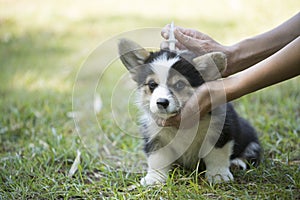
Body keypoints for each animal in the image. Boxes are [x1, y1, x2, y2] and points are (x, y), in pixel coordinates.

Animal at [117, 38, 260, 185]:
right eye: (152, 85)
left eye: (179, 85)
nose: (161, 102)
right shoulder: (156, 136)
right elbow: (157, 159)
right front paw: (155, 178)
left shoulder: (219, 130)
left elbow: (216, 155)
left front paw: (218, 175)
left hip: (250, 136)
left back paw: (237, 162)